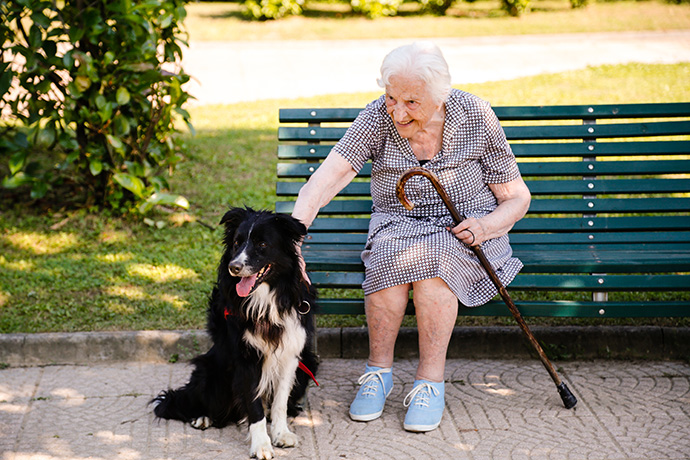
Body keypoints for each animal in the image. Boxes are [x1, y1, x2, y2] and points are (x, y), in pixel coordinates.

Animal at [150, 208, 318, 460]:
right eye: (237, 243)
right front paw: (261, 445)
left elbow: (279, 401)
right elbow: (254, 407)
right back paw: (202, 417)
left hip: (309, 362)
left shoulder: (290, 354)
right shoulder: (245, 360)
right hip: (211, 371)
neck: (265, 299)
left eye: (262, 244)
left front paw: (281, 434)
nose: (234, 267)